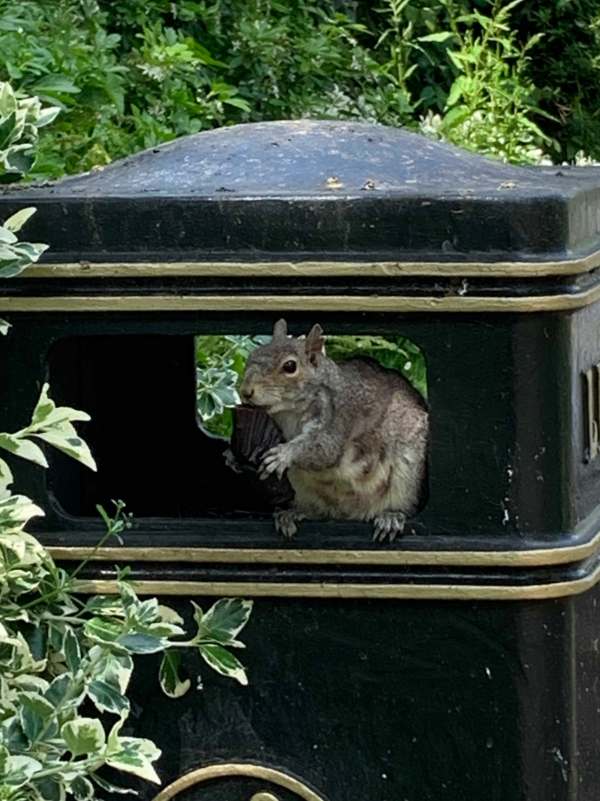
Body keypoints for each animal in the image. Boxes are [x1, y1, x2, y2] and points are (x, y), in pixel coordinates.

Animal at [237, 318, 428, 536]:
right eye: (253, 354)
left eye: (290, 366)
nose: (246, 391)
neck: (288, 413)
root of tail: (351, 513)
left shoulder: (338, 421)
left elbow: (325, 449)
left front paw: (283, 454)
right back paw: (291, 514)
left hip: (407, 476)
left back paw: (391, 517)